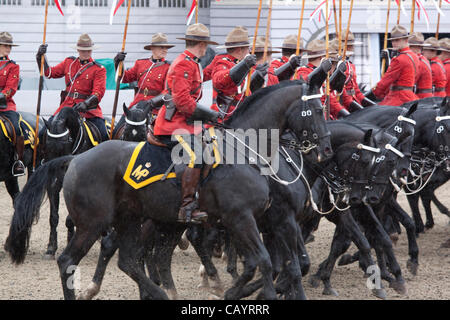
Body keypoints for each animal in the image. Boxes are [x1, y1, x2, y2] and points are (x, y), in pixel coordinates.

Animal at [4, 78, 334, 300]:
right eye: (317, 109)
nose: (326, 149)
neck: (244, 151)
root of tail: (77, 158)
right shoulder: (241, 219)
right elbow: (266, 262)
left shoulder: (256, 222)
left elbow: (277, 264)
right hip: (93, 224)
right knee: (69, 261)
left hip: (132, 219)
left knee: (128, 260)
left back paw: (162, 294)